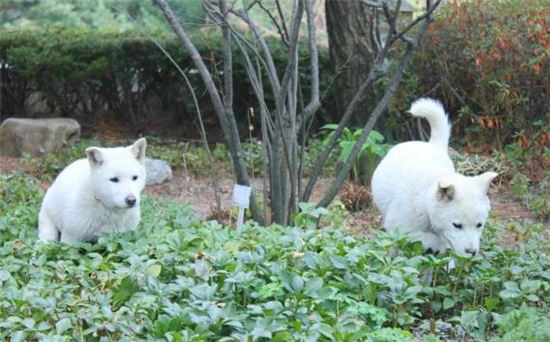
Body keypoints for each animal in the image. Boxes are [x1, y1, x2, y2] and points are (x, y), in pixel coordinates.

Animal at [374, 97, 498, 255]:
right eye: (457, 225)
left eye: (479, 225)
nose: (471, 252)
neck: (424, 204)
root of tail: (431, 144)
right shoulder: (398, 235)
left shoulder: (441, 245)